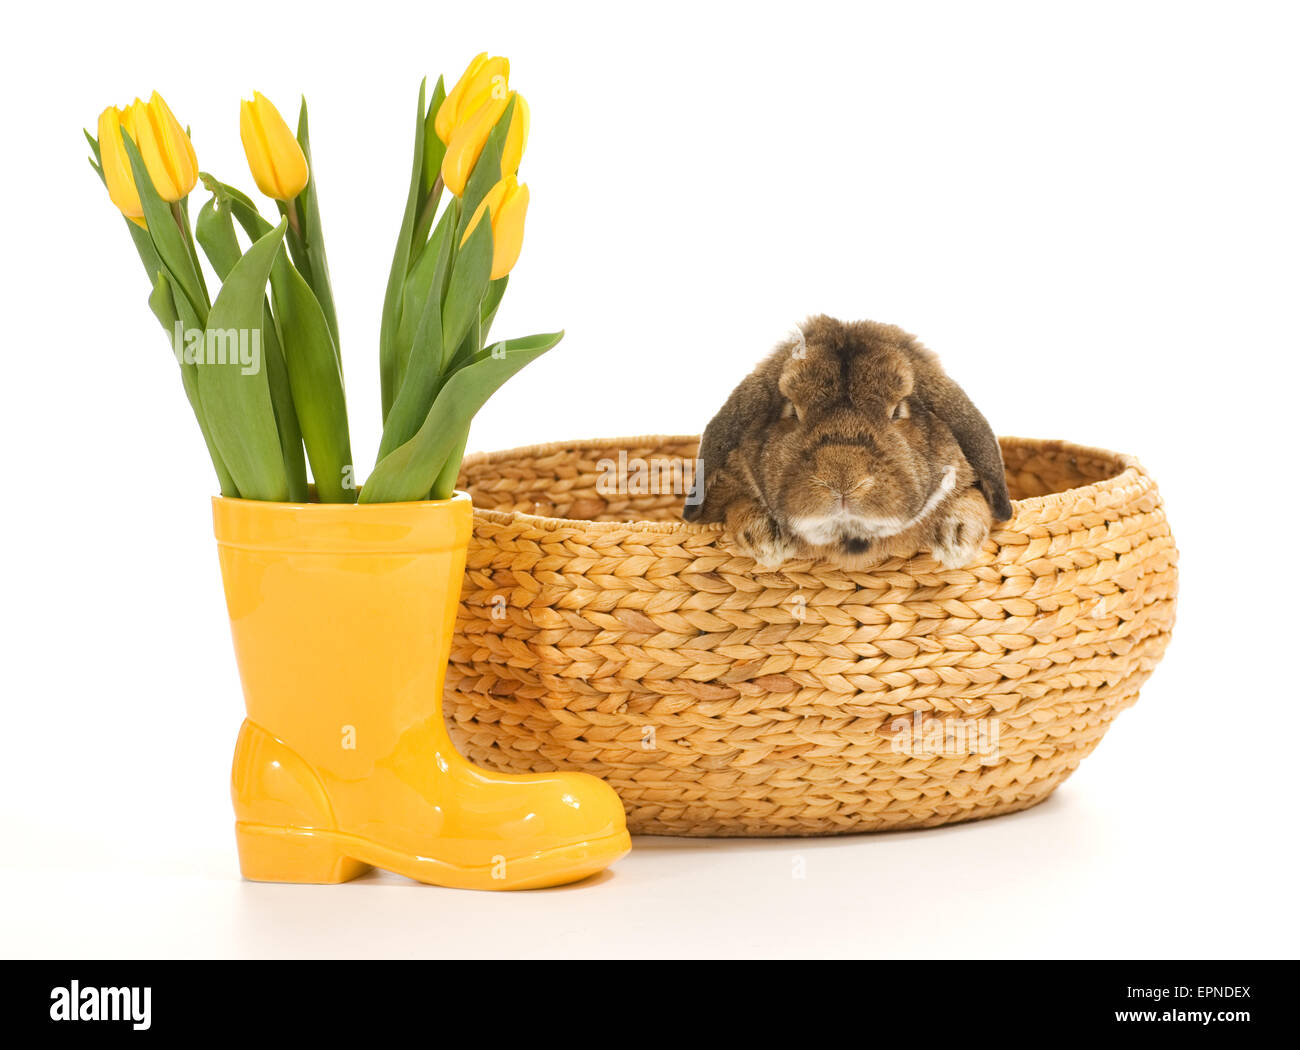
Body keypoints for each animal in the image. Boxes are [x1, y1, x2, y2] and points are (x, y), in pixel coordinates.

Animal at [682, 315, 1013, 569]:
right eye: (791, 410)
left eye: (898, 410)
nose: (842, 480)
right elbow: (737, 504)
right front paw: (765, 540)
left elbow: (973, 500)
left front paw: (959, 539)